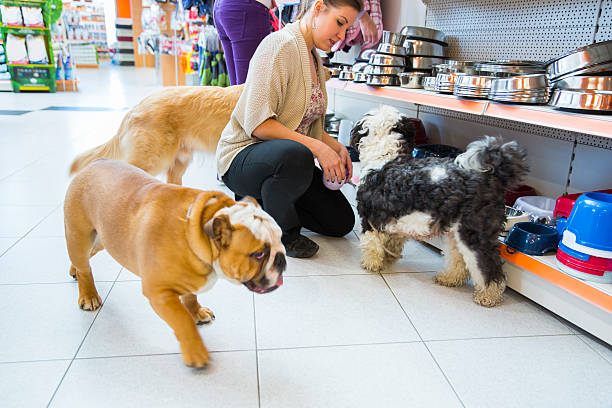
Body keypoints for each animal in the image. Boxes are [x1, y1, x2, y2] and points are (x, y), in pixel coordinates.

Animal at [352, 105, 528, 306]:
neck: (385, 157)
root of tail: (492, 175)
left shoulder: (369, 218)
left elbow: (371, 245)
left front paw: (371, 264)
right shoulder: (396, 220)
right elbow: (393, 241)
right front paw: (388, 258)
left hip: (474, 235)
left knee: (489, 268)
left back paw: (488, 295)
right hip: (456, 235)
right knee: (460, 263)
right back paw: (449, 279)